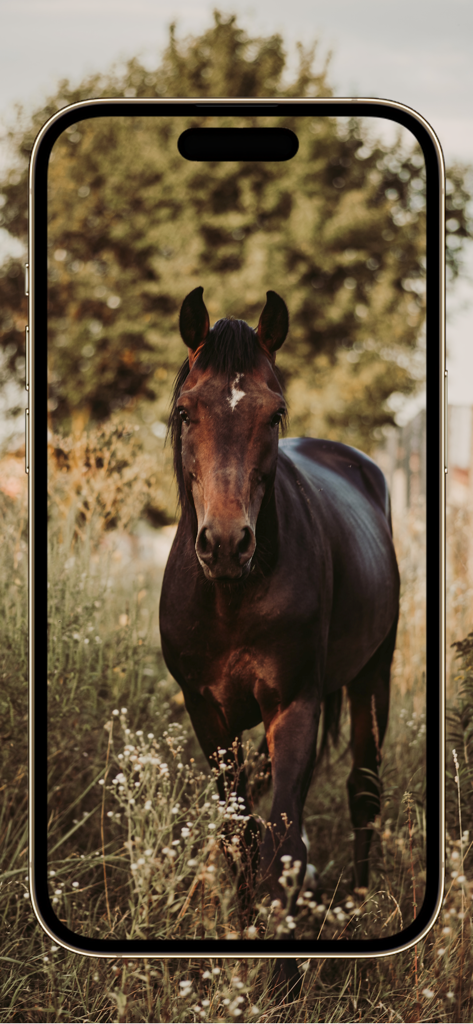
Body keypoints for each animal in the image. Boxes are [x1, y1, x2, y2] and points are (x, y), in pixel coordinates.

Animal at [159, 285, 400, 939]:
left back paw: (359, 904)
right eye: (185, 413)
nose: (225, 544)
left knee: (364, 792)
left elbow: (283, 849)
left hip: (374, 676)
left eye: (275, 414)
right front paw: (243, 931)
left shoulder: (295, 706)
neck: (231, 597)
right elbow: (238, 836)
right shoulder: (208, 715)